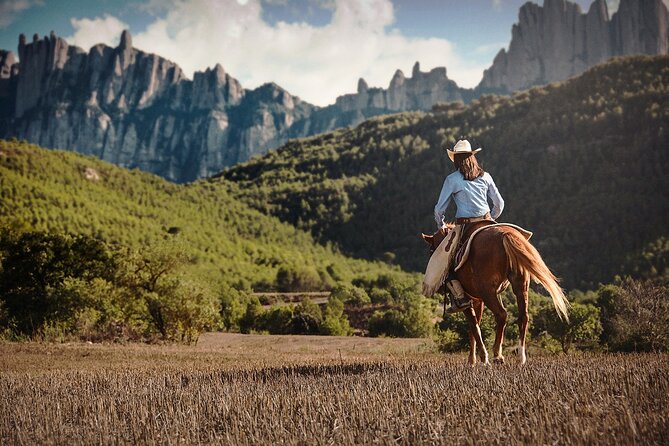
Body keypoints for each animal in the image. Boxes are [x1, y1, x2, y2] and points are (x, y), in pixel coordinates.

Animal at [420, 223, 568, 366]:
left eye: (431, 250)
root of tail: (505, 234)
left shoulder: (469, 302)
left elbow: (474, 326)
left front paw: (481, 359)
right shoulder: (478, 301)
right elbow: (474, 327)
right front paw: (472, 360)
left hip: (488, 293)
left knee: (501, 314)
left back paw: (497, 355)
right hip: (520, 287)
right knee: (523, 317)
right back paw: (521, 357)